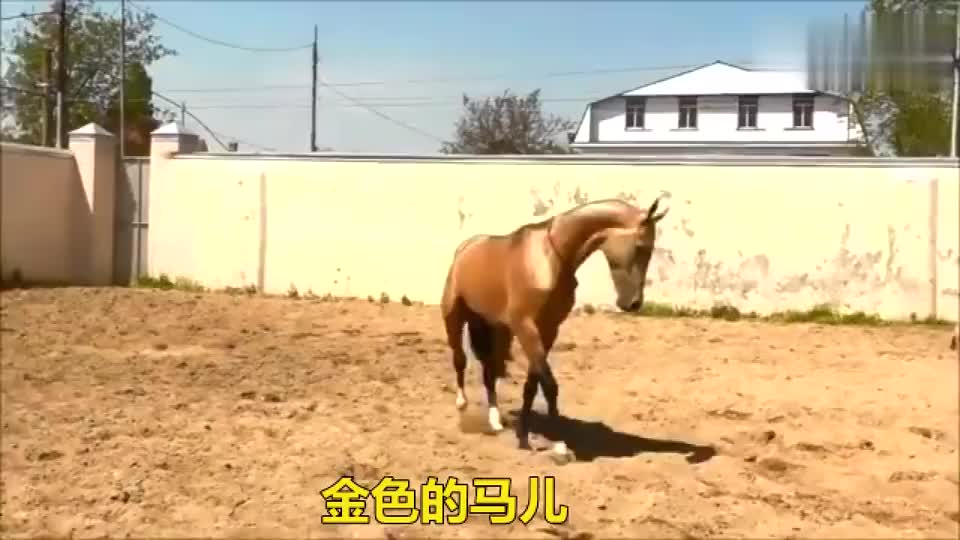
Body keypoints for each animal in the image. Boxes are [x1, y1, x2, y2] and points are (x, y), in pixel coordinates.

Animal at [440, 195, 669, 450]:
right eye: (640, 247)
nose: (633, 303)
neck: (550, 257)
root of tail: (465, 248)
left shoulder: (548, 329)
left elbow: (533, 384)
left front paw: (527, 436)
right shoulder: (526, 327)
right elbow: (549, 384)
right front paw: (557, 443)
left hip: (497, 329)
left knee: (490, 371)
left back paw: (496, 422)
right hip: (454, 317)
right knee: (459, 359)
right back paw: (462, 404)